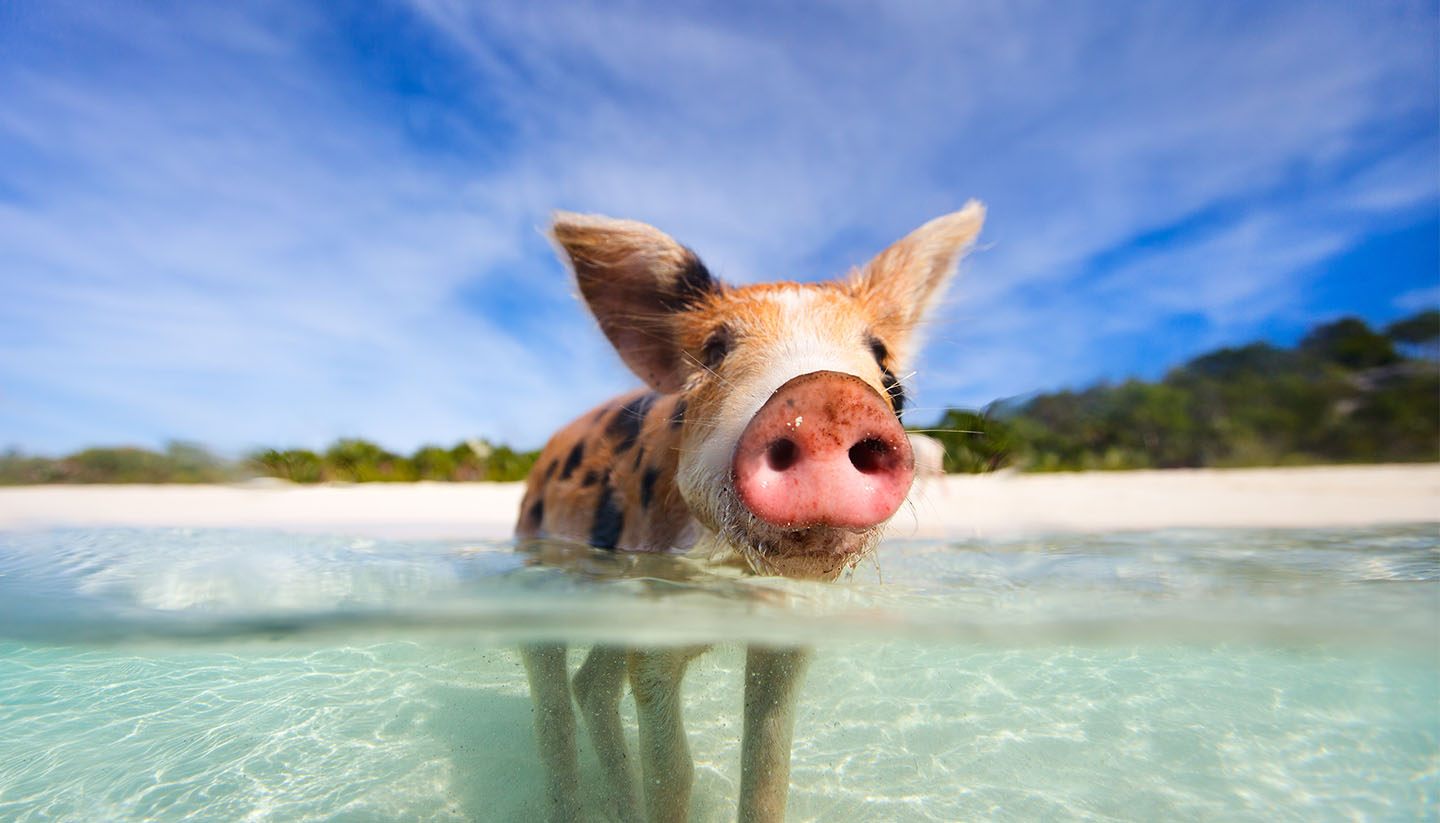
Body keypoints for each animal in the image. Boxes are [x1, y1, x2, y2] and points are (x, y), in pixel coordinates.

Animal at [515, 202, 985, 822]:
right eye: (715, 349)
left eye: (882, 358)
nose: (826, 396)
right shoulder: (654, 619)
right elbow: (675, 773)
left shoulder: (787, 629)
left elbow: (767, 768)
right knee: (551, 699)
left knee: (591, 685)